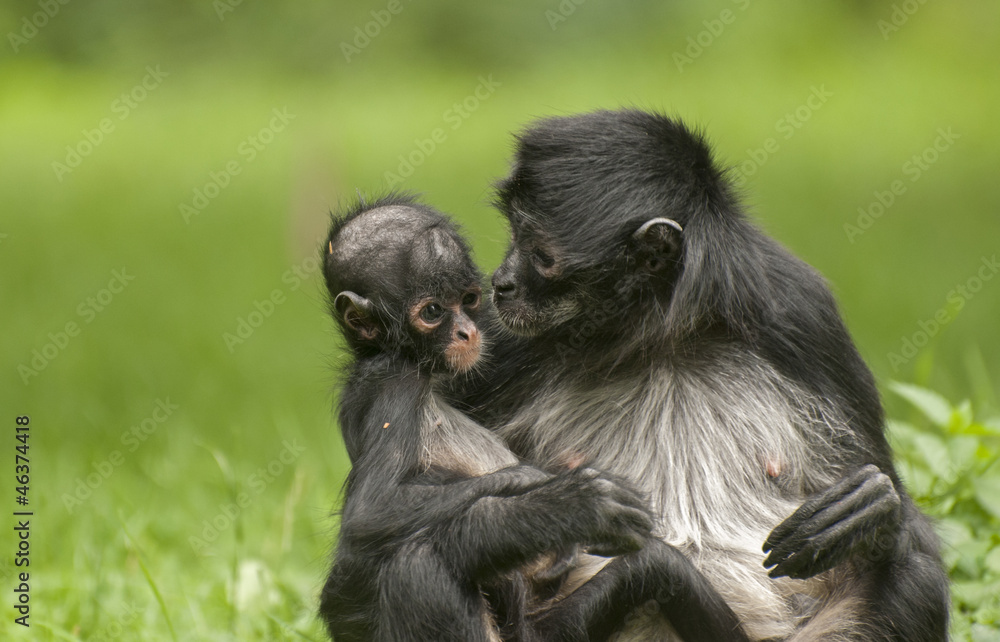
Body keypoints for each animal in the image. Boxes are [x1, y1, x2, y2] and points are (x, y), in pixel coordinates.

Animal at [318, 193, 751, 642]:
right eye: (433, 311)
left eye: (468, 300)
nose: (468, 332)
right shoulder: (394, 382)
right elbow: (372, 514)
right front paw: (562, 499)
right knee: (415, 562)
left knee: (654, 569)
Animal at [451, 109, 949, 640]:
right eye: (514, 238)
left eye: (540, 255)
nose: (500, 283)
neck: (662, 339)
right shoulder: (498, 337)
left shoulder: (802, 312)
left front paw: (875, 514)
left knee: (916, 575)